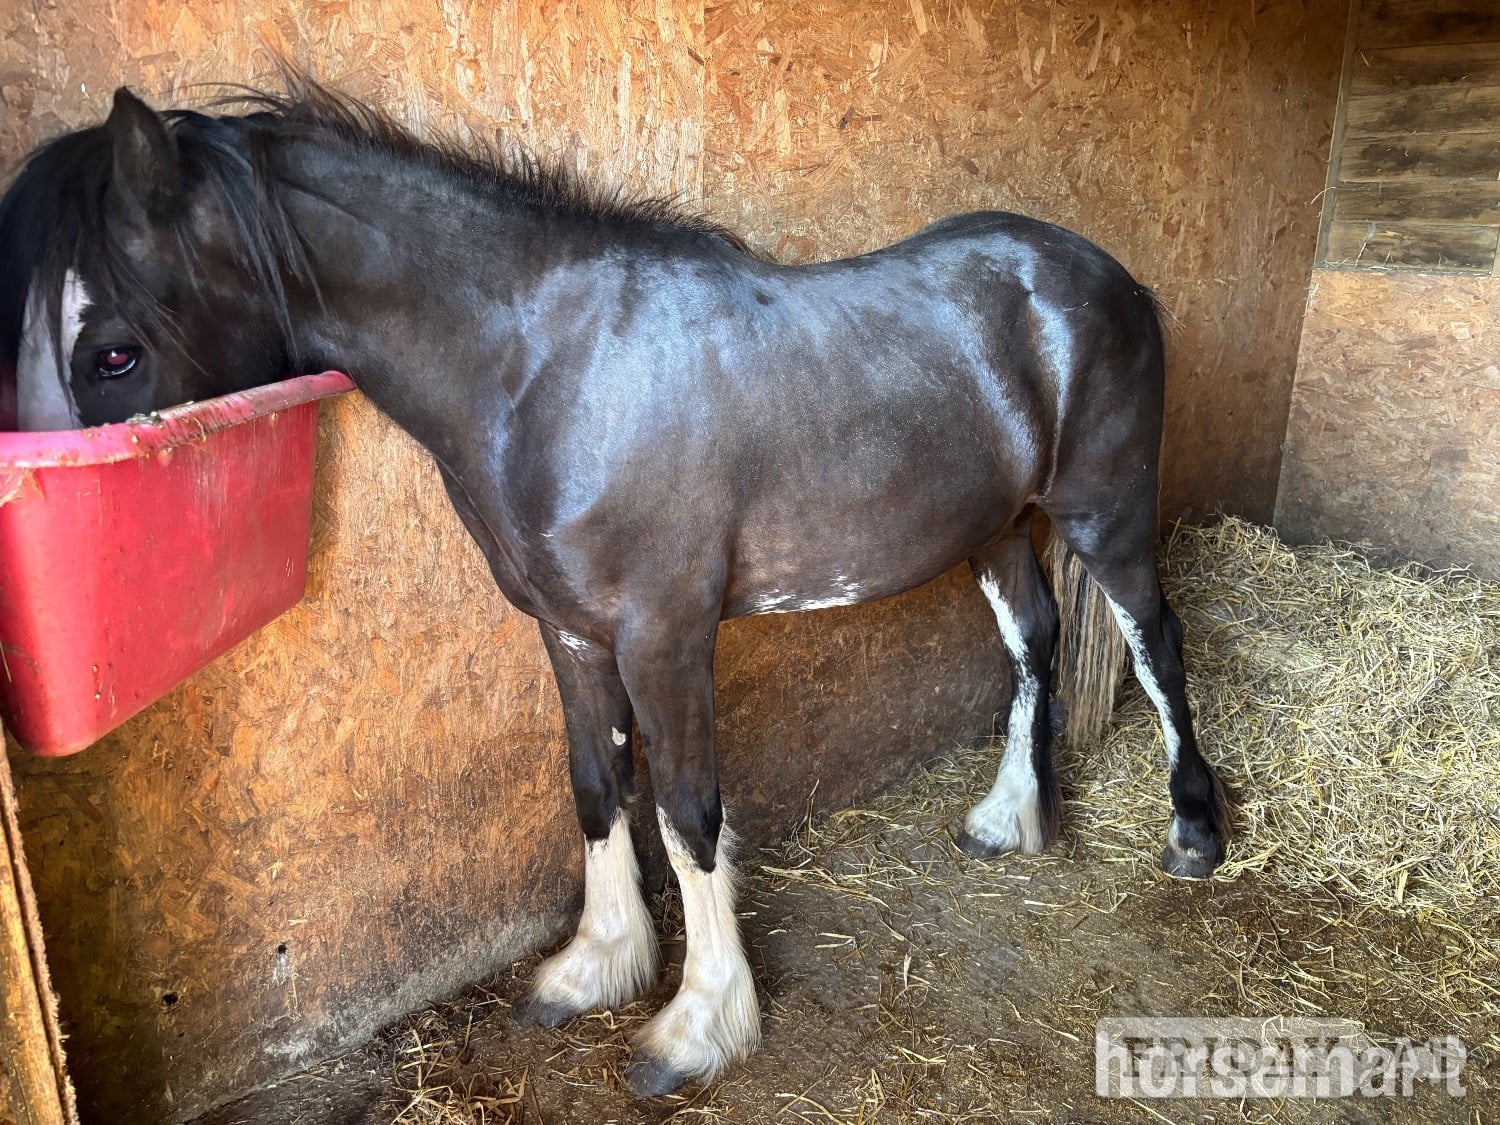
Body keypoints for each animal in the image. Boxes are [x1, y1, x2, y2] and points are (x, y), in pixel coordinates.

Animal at [0, 80, 1230, 1096]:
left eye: (112, 350)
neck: (547, 366)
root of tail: (1102, 273)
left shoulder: (665, 636)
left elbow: (687, 812)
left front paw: (698, 1026)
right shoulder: (572, 634)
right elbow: (596, 786)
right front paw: (595, 969)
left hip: (1106, 518)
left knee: (1157, 643)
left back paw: (1192, 834)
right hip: (998, 529)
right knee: (1033, 643)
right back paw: (1009, 818)